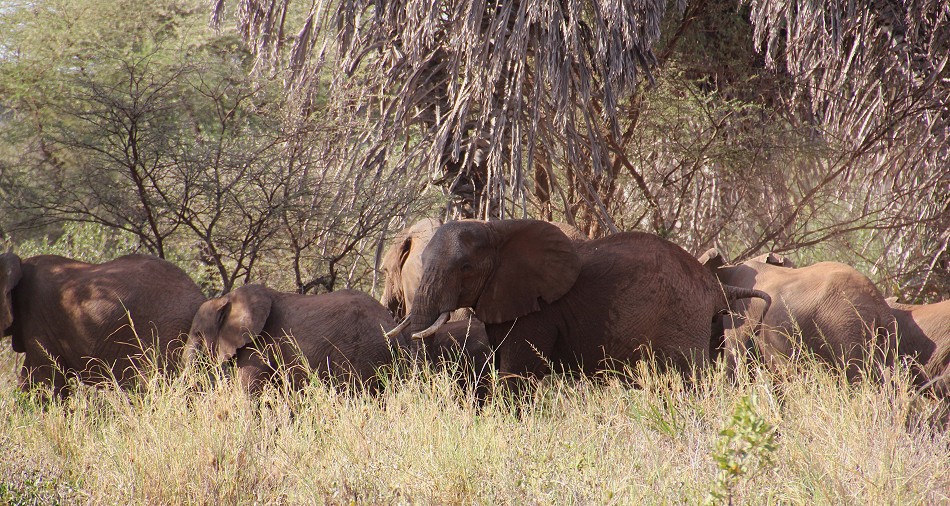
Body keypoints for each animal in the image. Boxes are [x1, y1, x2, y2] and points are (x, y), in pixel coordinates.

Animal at [188, 282, 408, 394]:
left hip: (360, 351)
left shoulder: (259, 345)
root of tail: (391, 324)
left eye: (198, 335)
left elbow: (251, 391)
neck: (225, 299)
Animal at [406, 218, 768, 384]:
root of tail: (714, 285)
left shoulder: (537, 312)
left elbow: (517, 373)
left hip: (683, 317)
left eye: (465, 268)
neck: (497, 227)